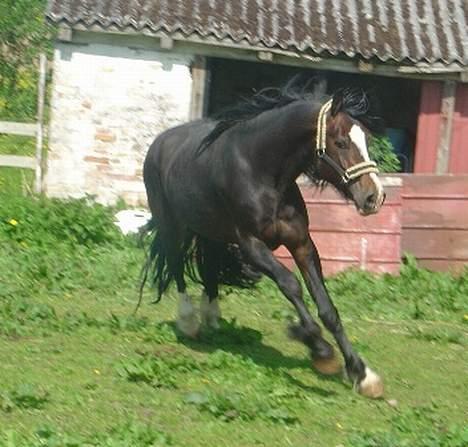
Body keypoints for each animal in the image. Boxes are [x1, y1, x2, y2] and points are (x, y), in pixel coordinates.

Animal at [141, 84, 386, 400]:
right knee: (176, 266)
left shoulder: (303, 245)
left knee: (208, 268)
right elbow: (291, 285)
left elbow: (327, 307)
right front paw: (318, 349)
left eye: (367, 140)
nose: (374, 197)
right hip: (173, 227)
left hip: (211, 232)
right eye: (341, 142)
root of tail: (158, 144)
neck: (262, 172)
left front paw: (362, 374)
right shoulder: (251, 246)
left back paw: (212, 317)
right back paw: (189, 321)